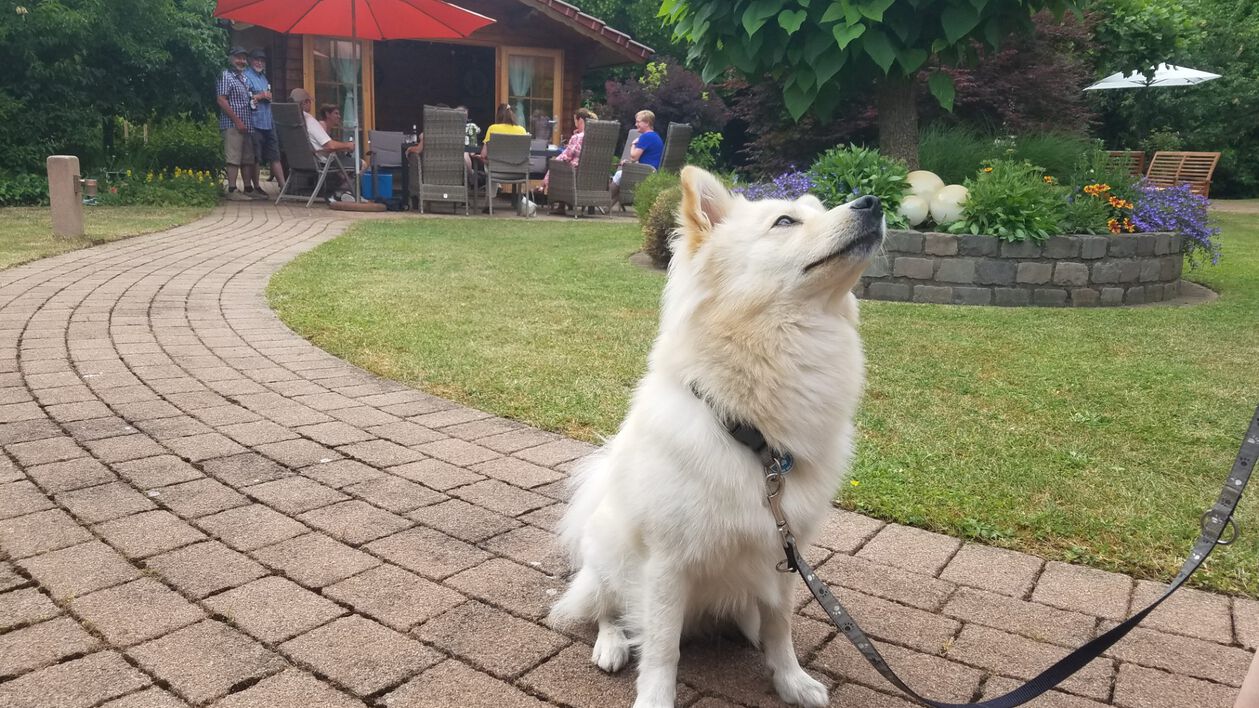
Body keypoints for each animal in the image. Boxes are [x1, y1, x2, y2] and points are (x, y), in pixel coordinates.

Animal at [551, 166, 886, 705]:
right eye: (785, 221)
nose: (874, 202)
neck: (753, 435)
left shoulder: (784, 553)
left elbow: (781, 627)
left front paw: (791, 681)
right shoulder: (667, 564)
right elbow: (662, 648)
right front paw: (654, 697)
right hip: (608, 555)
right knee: (606, 608)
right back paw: (612, 644)